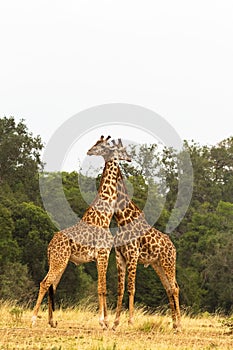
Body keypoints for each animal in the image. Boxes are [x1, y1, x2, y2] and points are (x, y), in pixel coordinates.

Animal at [31, 135, 131, 328]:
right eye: (120, 150)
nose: (129, 158)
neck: (105, 216)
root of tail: (50, 246)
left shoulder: (102, 256)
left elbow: (102, 288)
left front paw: (105, 321)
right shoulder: (102, 254)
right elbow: (102, 288)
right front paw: (103, 321)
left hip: (59, 261)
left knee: (52, 285)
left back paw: (52, 321)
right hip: (59, 260)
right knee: (45, 283)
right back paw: (33, 319)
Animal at [111, 139, 182, 330]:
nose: (128, 159)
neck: (121, 218)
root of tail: (173, 248)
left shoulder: (133, 256)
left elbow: (131, 287)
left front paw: (129, 321)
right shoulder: (119, 256)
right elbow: (121, 288)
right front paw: (116, 322)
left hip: (168, 262)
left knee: (175, 288)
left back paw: (179, 324)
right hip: (158, 265)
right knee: (169, 288)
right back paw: (174, 323)